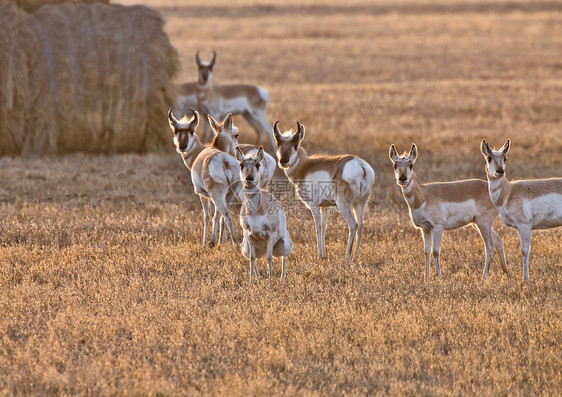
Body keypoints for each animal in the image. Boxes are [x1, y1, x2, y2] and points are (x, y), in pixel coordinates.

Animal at [166, 108, 276, 244]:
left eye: (191, 130)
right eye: (175, 131)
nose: (182, 147)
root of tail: (225, 161)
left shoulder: (203, 194)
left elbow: (208, 216)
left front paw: (206, 242)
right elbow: (217, 216)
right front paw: (221, 240)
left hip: (219, 195)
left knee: (225, 214)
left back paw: (225, 242)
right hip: (235, 193)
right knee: (233, 213)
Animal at [234, 146, 290, 282]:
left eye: (258, 164)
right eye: (241, 164)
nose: (249, 178)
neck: (256, 212)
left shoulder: (271, 235)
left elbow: (269, 258)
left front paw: (271, 281)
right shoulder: (249, 234)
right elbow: (252, 258)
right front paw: (251, 282)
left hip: (284, 243)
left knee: (284, 257)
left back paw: (282, 279)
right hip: (246, 247)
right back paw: (259, 280)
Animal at [272, 120, 372, 258]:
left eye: (296, 144)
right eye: (278, 143)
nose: (283, 161)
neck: (305, 167)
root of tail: (360, 164)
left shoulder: (314, 205)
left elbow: (318, 227)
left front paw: (319, 255)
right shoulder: (326, 206)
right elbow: (324, 227)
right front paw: (324, 255)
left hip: (343, 204)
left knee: (353, 225)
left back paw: (347, 256)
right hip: (360, 203)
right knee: (361, 225)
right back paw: (356, 256)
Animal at [388, 142, 506, 278]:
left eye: (411, 164)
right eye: (395, 165)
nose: (402, 178)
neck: (423, 195)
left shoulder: (437, 227)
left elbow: (435, 251)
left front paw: (439, 276)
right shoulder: (425, 229)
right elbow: (426, 252)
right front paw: (426, 277)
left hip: (483, 224)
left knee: (489, 245)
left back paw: (484, 276)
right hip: (478, 224)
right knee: (498, 240)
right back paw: (506, 273)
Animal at [476, 141, 560, 280]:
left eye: (505, 157)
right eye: (489, 158)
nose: (500, 171)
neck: (509, 192)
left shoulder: (524, 225)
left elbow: (524, 251)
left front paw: (525, 278)